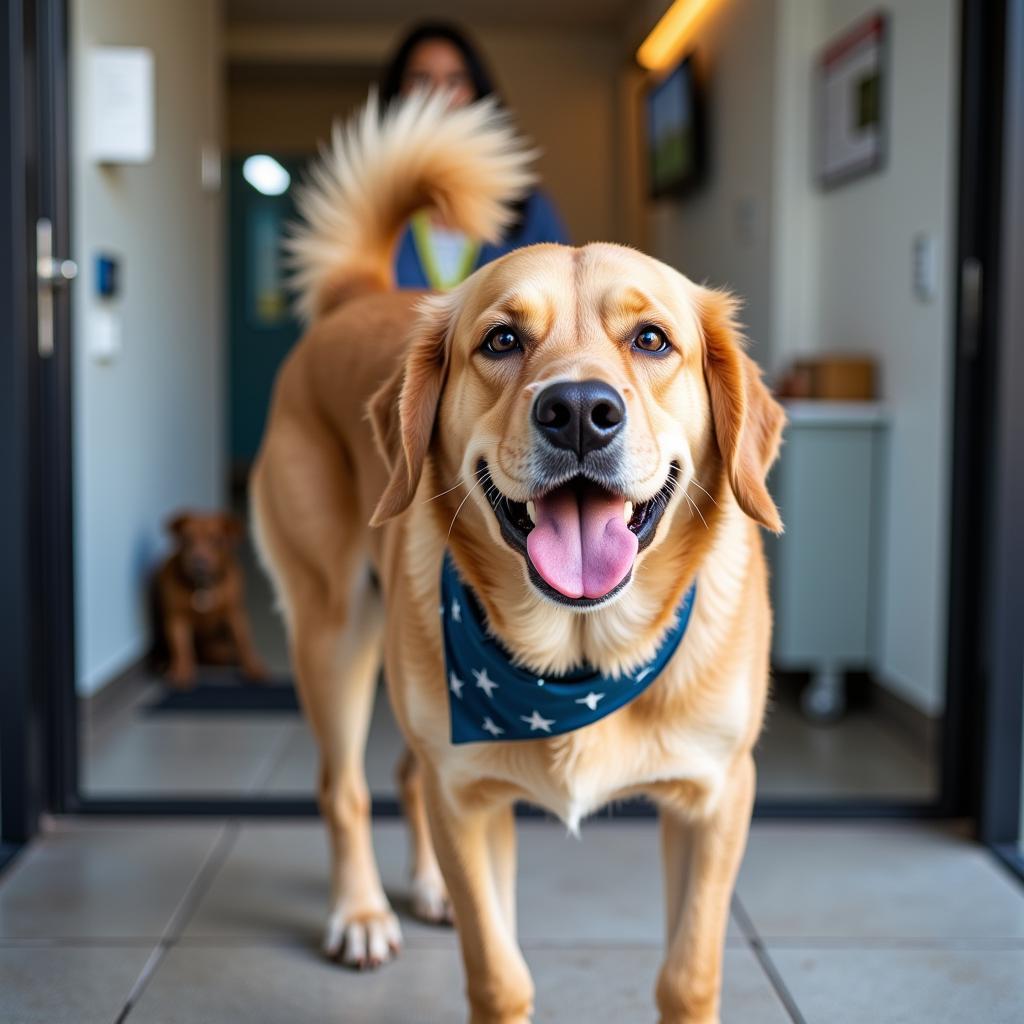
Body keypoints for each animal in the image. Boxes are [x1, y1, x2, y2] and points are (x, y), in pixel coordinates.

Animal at [152, 509, 268, 688]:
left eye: (216, 540)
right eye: (187, 539)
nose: (199, 562)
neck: (203, 585)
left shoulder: (236, 614)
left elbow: (244, 642)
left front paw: (253, 667)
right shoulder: (177, 617)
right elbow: (181, 646)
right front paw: (182, 671)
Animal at [253, 94, 782, 1024]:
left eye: (652, 340)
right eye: (501, 341)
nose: (578, 411)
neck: (581, 657)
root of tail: (358, 298)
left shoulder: (715, 799)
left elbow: (688, 974)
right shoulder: (471, 801)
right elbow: (499, 974)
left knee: (404, 770)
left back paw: (423, 888)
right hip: (333, 631)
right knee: (344, 787)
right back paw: (361, 913)